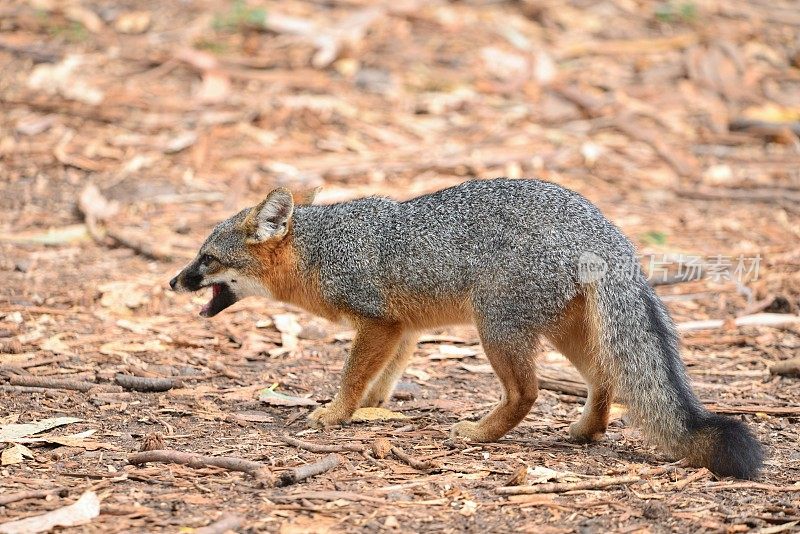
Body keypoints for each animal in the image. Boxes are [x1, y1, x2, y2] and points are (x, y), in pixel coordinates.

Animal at [170, 178, 764, 480]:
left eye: (206, 259)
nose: (174, 281)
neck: (323, 250)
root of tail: (603, 226)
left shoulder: (377, 321)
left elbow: (353, 374)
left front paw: (337, 414)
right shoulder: (403, 328)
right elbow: (381, 376)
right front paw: (372, 409)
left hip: (495, 328)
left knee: (527, 392)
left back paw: (479, 434)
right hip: (566, 331)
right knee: (607, 379)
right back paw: (583, 431)